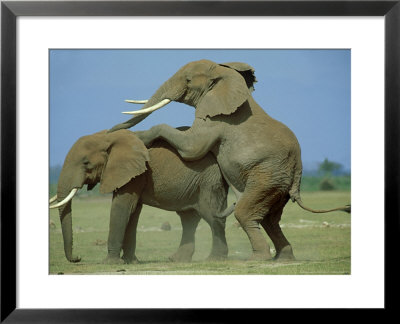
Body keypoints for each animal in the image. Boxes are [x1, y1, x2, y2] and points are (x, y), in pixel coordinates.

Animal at [48, 128, 233, 264]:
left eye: (86, 163)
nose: (78, 258)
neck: (106, 136)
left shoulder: (135, 174)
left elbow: (121, 207)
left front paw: (110, 263)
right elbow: (133, 210)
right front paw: (130, 262)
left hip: (208, 180)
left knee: (212, 216)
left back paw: (215, 259)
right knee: (189, 218)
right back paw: (177, 260)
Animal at [109, 58, 350, 260]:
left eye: (188, 80)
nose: (111, 129)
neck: (223, 74)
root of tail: (298, 170)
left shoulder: (216, 120)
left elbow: (191, 149)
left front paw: (138, 136)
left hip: (266, 176)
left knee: (246, 213)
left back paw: (258, 259)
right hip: (277, 183)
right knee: (270, 219)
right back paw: (283, 258)